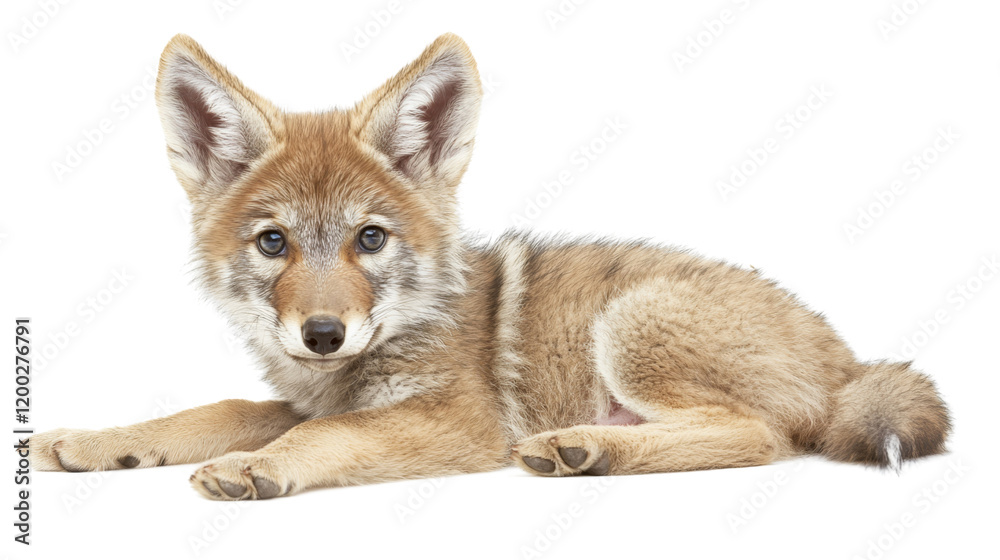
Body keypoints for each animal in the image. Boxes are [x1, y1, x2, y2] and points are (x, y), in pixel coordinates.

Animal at [31, 34, 951, 500]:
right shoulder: (297, 397)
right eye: (274, 244)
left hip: (631, 327)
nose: (323, 333)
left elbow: (324, 435)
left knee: (759, 437)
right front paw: (100, 444)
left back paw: (583, 448)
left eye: (370, 239)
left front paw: (256, 469)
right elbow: (213, 409)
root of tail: (845, 357)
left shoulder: (453, 423)